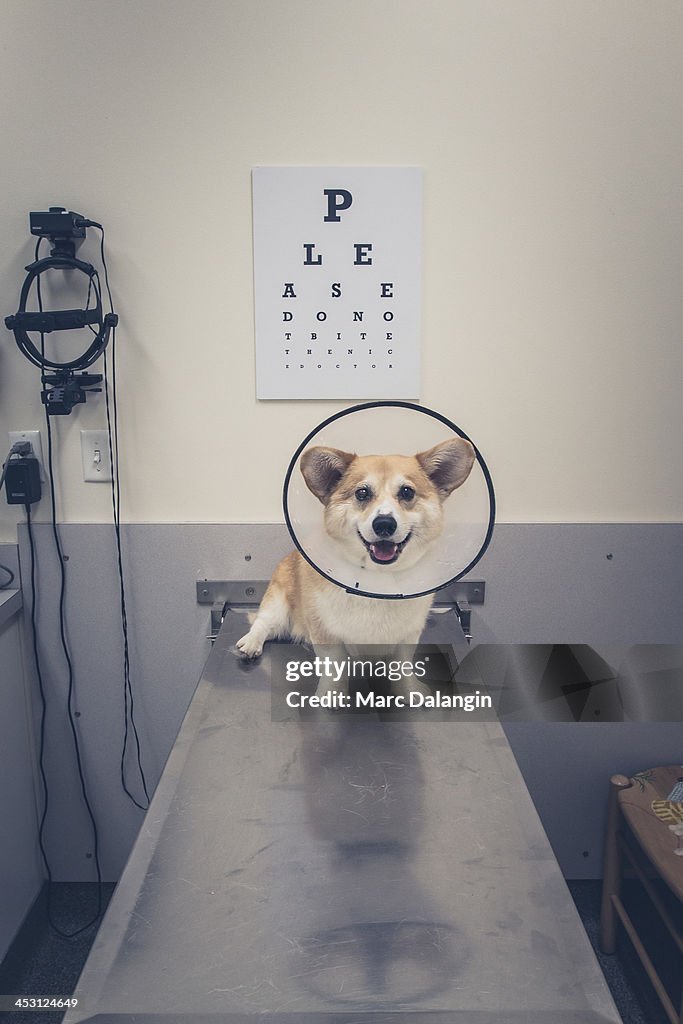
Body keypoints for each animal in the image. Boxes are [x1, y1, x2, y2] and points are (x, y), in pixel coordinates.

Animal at [235, 436, 475, 659]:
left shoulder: (407, 638)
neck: (377, 582)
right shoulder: (326, 636)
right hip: (278, 604)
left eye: (407, 492)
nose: (384, 524)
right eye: (362, 493)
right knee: (263, 623)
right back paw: (251, 642)